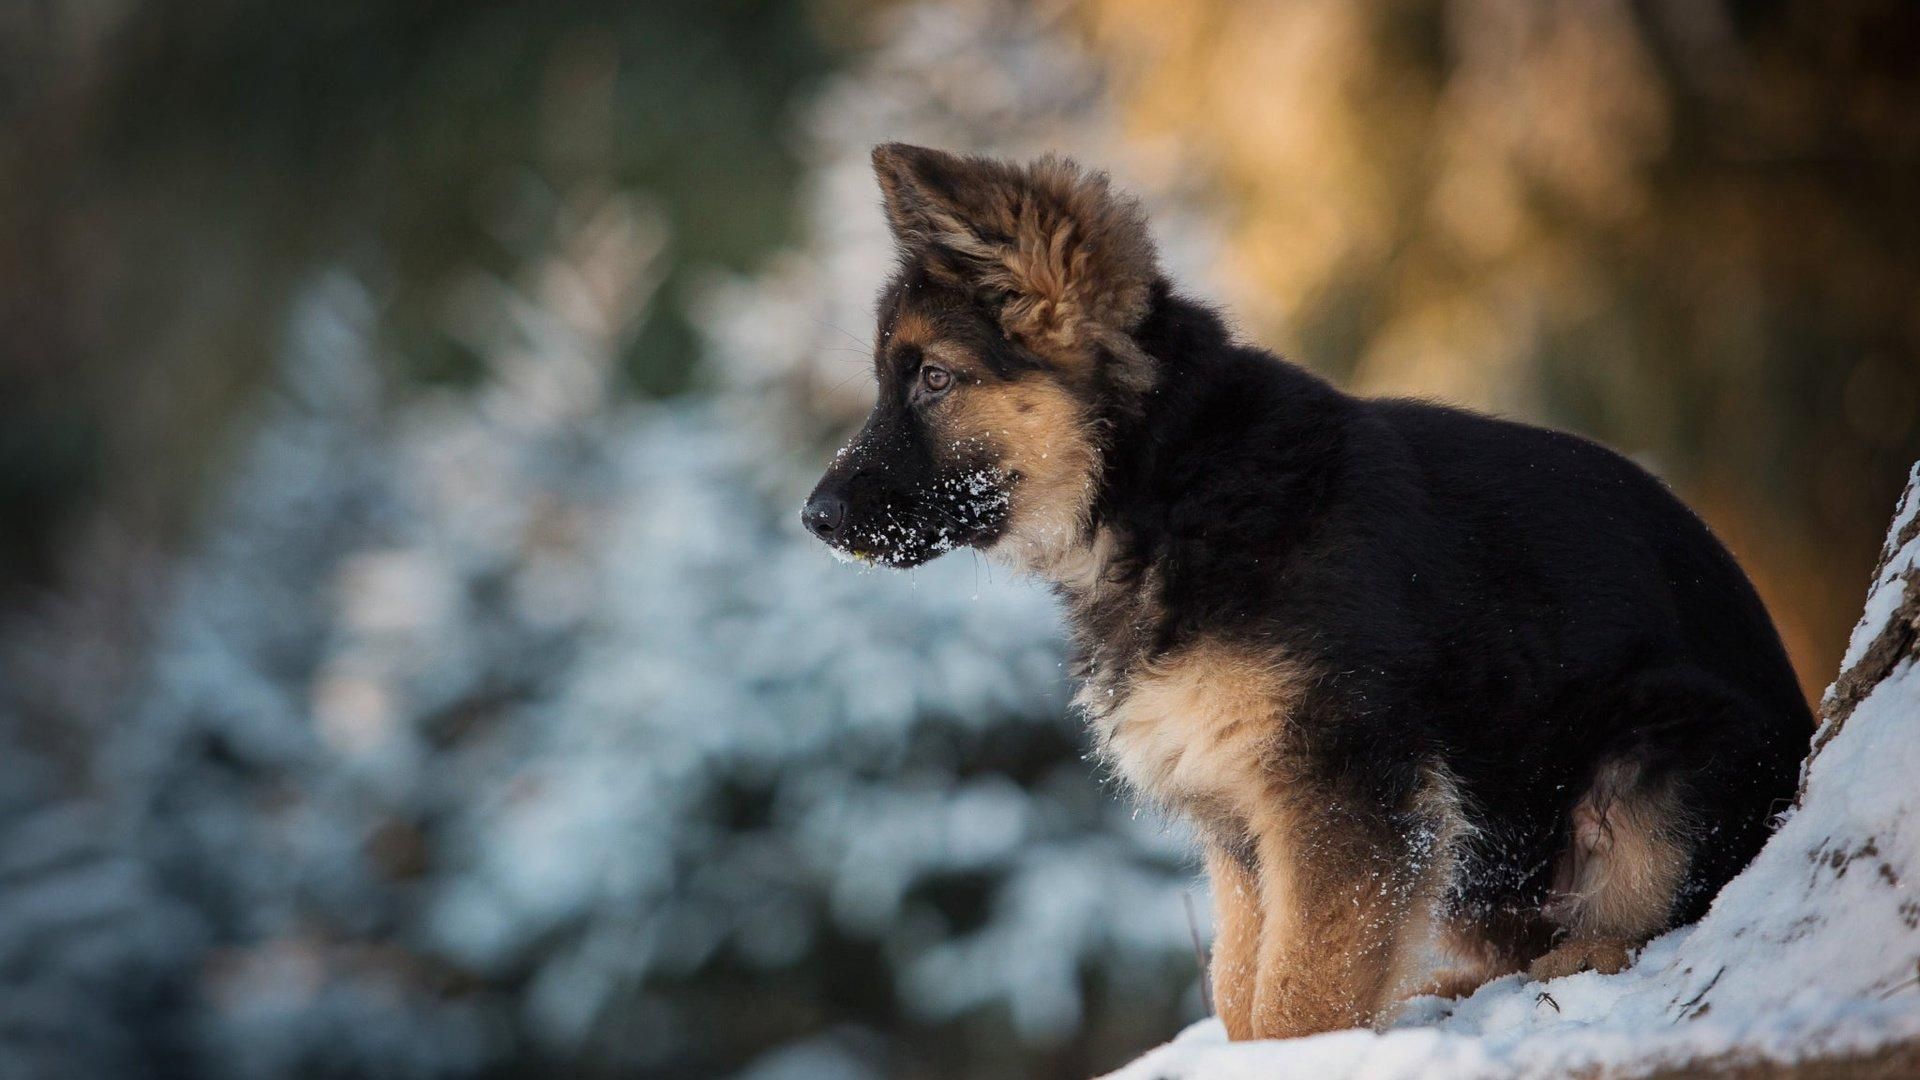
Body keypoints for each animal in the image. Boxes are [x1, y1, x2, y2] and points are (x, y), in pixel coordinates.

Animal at [798, 143, 1812, 1037]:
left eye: (935, 379)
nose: (813, 518)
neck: (1172, 486)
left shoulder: (1343, 792)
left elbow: (1299, 997)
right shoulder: (1244, 820)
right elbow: (1241, 987)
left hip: (1652, 760)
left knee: (1659, 914)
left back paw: (1580, 960)